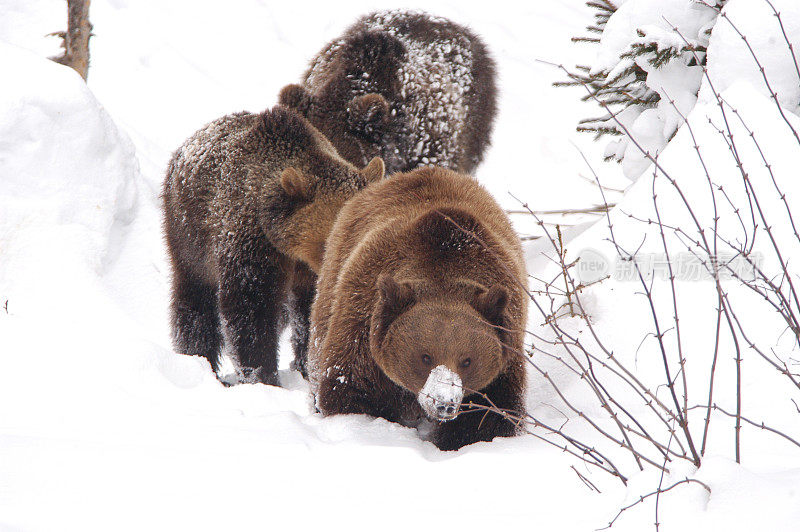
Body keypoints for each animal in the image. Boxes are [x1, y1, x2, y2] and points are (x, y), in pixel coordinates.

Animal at [162, 105, 382, 386]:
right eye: (329, 242)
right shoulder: (251, 241)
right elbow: (250, 307)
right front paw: (262, 373)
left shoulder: (306, 272)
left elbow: (307, 314)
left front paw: (307, 365)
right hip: (189, 233)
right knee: (194, 297)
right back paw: (199, 357)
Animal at [310, 165, 528, 448]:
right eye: (425, 356)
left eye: (467, 360)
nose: (444, 403)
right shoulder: (363, 321)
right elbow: (352, 390)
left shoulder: (504, 351)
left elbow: (491, 415)